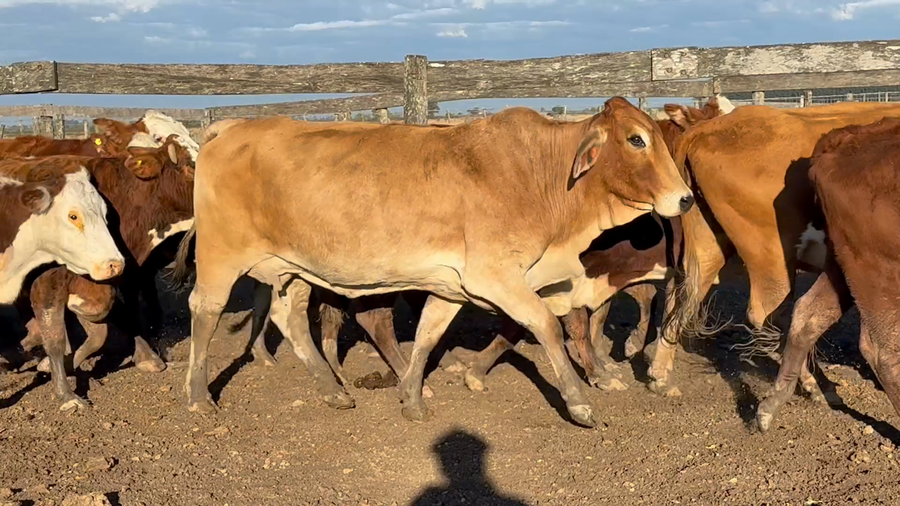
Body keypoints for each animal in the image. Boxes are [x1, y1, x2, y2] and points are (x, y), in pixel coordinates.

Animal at [176, 97, 693, 427]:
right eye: (636, 140)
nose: (686, 198)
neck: (538, 174)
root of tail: (230, 127)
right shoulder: (497, 276)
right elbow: (547, 326)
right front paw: (580, 404)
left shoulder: (452, 287)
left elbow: (428, 334)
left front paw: (411, 397)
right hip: (222, 255)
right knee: (204, 311)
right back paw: (199, 397)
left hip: (292, 269)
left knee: (291, 319)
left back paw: (333, 390)